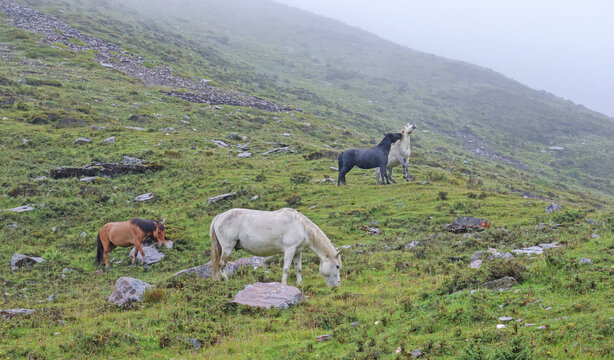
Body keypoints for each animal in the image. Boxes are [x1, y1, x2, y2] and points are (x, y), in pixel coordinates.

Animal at [211, 208, 344, 286]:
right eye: (337, 266)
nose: (337, 285)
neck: (301, 227)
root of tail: (218, 217)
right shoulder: (289, 249)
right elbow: (286, 268)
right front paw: (283, 286)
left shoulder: (297, 252)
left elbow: (298, 269)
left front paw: (300, 285)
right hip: (227, 248)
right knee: (222, 264)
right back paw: (227, 281)